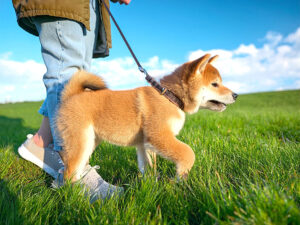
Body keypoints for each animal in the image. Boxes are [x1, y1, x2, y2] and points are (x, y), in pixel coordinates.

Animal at [57, 54, 238, 181]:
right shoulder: (159, 135)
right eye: (215, 84)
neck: (170, 97)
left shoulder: (145, 144)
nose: (236, 95)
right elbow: (188, 153)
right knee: (69, 173)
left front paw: (151, 185)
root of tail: (71, 95)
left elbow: (149, 166)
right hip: (80, 141)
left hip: (91, 141)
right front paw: (181, 177)